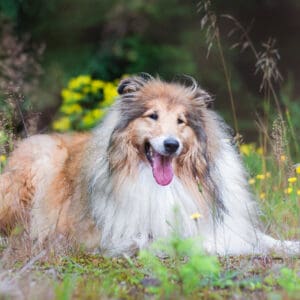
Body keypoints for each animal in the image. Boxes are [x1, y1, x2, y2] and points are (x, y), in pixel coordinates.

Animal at [0, 74, 298, 255]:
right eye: (152, 115)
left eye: (181, 121)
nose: (171, 145)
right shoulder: (131, 233)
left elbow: (257, 236)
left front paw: (288, 246)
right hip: (40, 160)